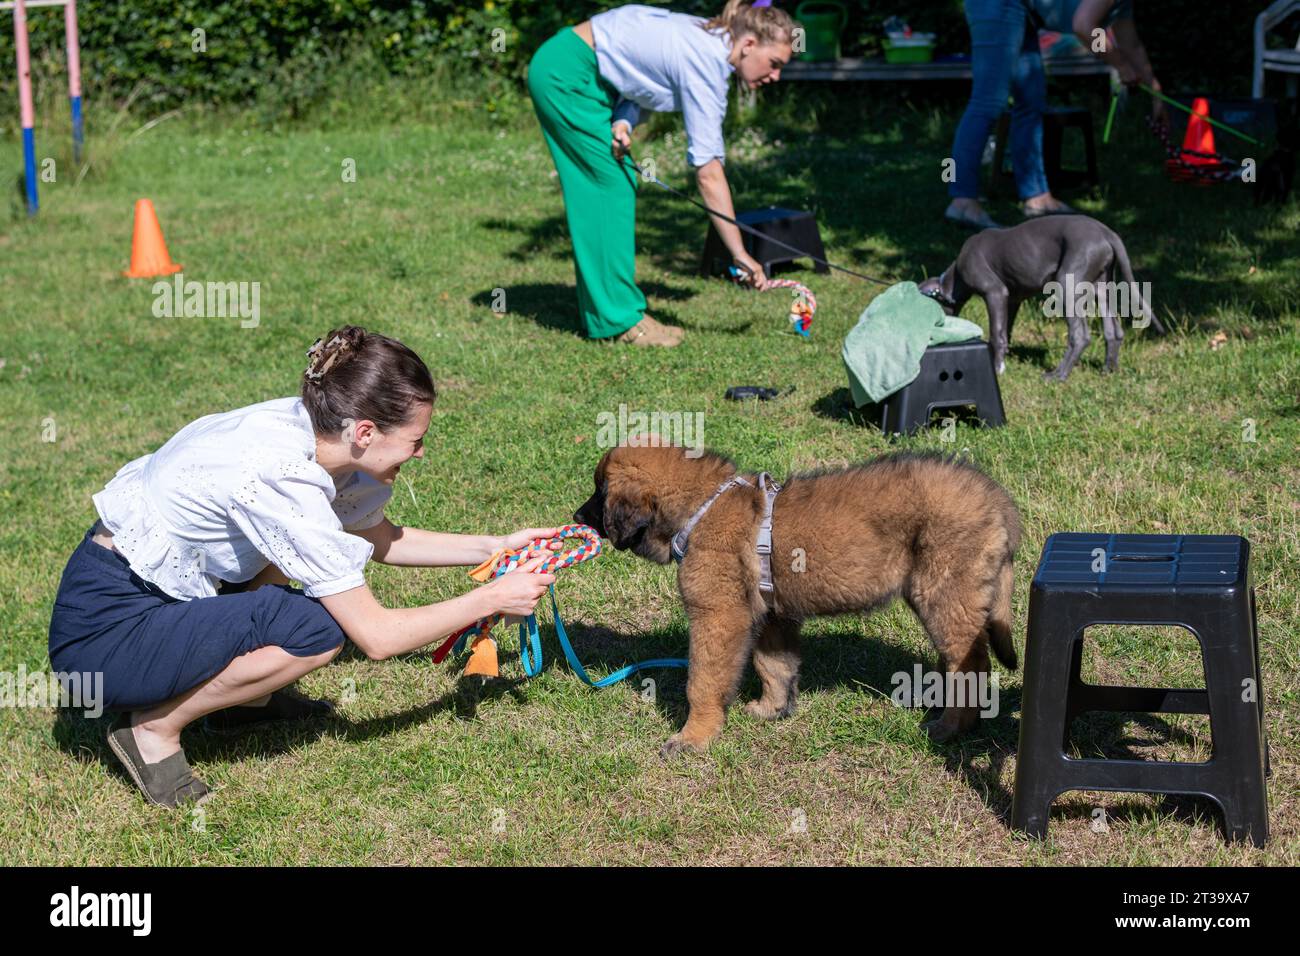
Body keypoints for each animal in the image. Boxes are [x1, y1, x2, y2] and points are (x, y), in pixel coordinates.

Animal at [574, 444, 1019, 759]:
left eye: (600, 492)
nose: (577, 516)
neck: (700, 508)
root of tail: (997, 498)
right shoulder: (772, 617)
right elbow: (774, 666)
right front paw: (771, 709)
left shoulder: (718, 615)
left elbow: (702, 680)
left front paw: (693, 737)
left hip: (944, 594)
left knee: (972, 665)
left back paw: (950, 727)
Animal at [915, 217, 1170, 382]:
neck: (955, 275)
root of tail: (1107, 233)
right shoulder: (1012, 299)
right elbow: (1005, 331)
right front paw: (1001, 360)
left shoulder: (995, 293)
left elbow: (997, 334)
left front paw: (997, 369)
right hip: (1101, 287)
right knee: (1113, 331)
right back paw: (1108, 370)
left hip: (1067, 285)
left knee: (1080, 336)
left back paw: (1058, 375)